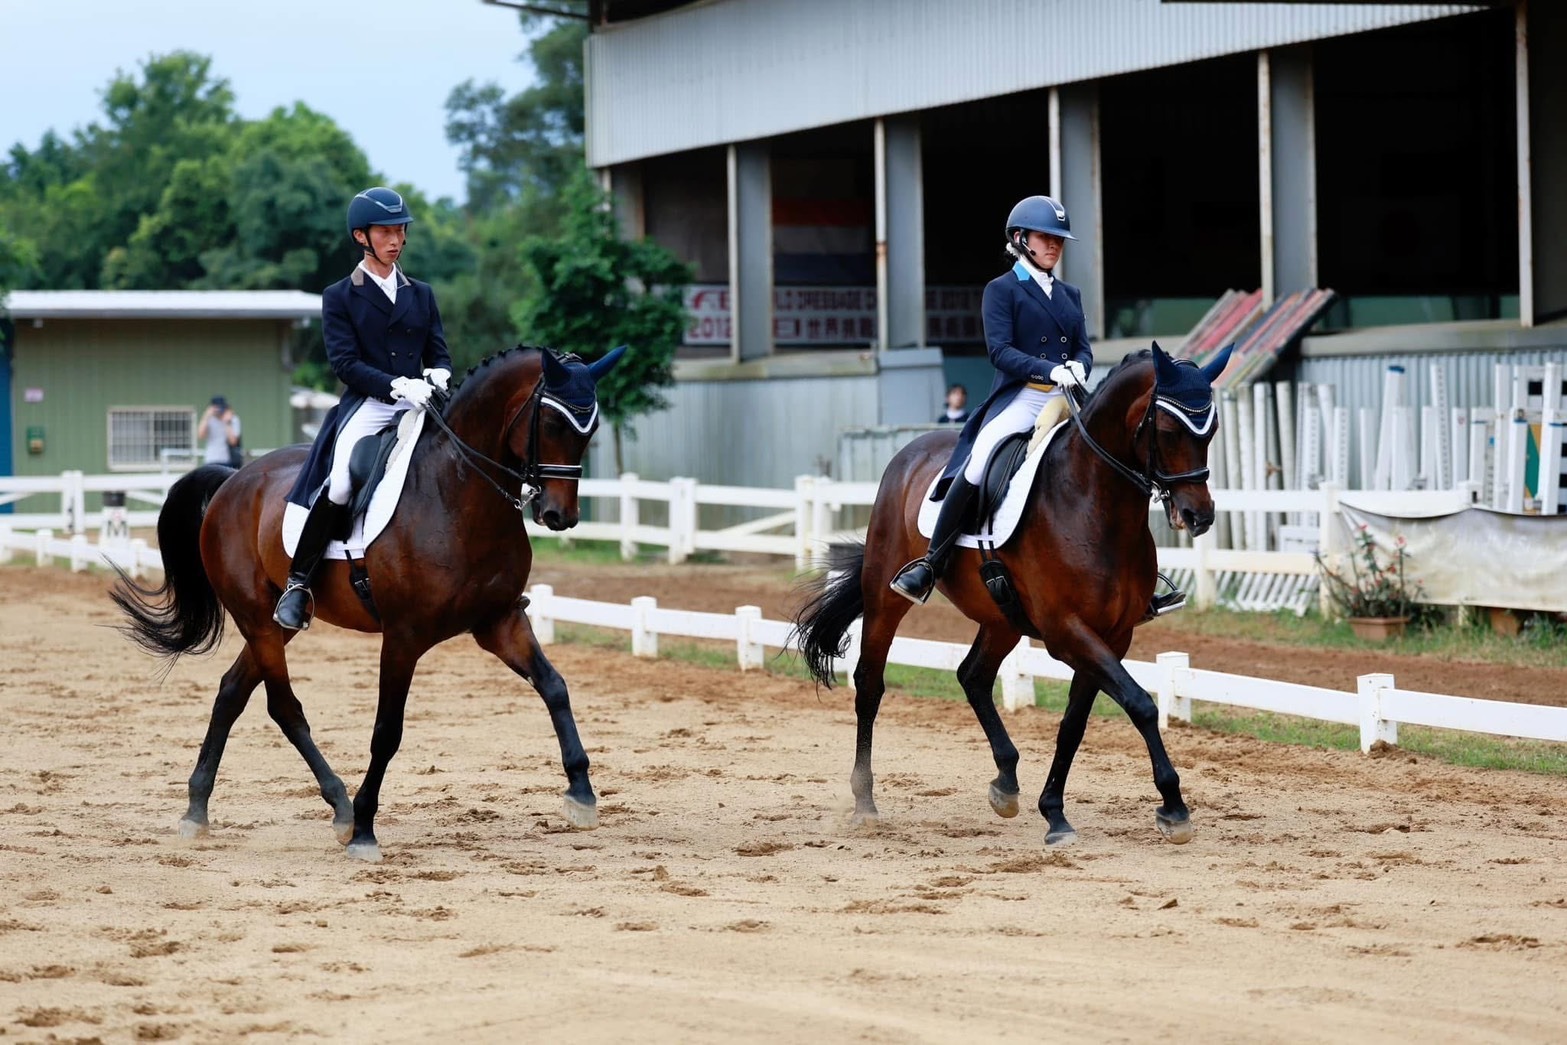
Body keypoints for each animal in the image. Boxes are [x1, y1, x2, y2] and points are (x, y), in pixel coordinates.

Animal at [110, 346, 622, 863]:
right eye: (553, 423)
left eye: (592, 428)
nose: (559, 516)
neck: (457, 493)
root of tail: (234, 480)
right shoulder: (403, 637)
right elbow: (387, 731)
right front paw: (365, 830)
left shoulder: (500, 621)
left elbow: (554, 686)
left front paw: (581, 793)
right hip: (256, 618)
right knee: (283, 706)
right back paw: (340, 808)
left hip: (277, 623)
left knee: (232, 691)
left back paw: (198, 810)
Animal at [792, 343, 1232, 846]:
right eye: (1167, 430)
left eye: (1210, 430)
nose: (1198, 516)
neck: (1093, 502)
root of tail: (911, 451)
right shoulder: (1067, 631)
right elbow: (1140, 703)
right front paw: (1174, 807)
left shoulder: (1113, 636)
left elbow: (1074, 724)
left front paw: (1054, 812)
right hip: (886, 597)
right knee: (870, 682)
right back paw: (865, 801)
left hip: (1001, 617)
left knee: (972, 676)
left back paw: (1006, 782)